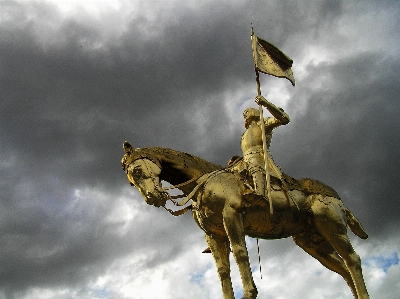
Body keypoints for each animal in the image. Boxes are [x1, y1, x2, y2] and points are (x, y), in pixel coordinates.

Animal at [121, 144, 368, 299]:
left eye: (137, 171)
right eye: (131, 181)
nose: (153, 198)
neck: (205, 182)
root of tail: (336, 198)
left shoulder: (231, 216)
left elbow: (240, 252)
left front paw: (250, 293)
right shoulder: (213, 234)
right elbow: (222, 269)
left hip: (332, 227)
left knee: (353, 260)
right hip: (312, 241)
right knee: (343, 269)